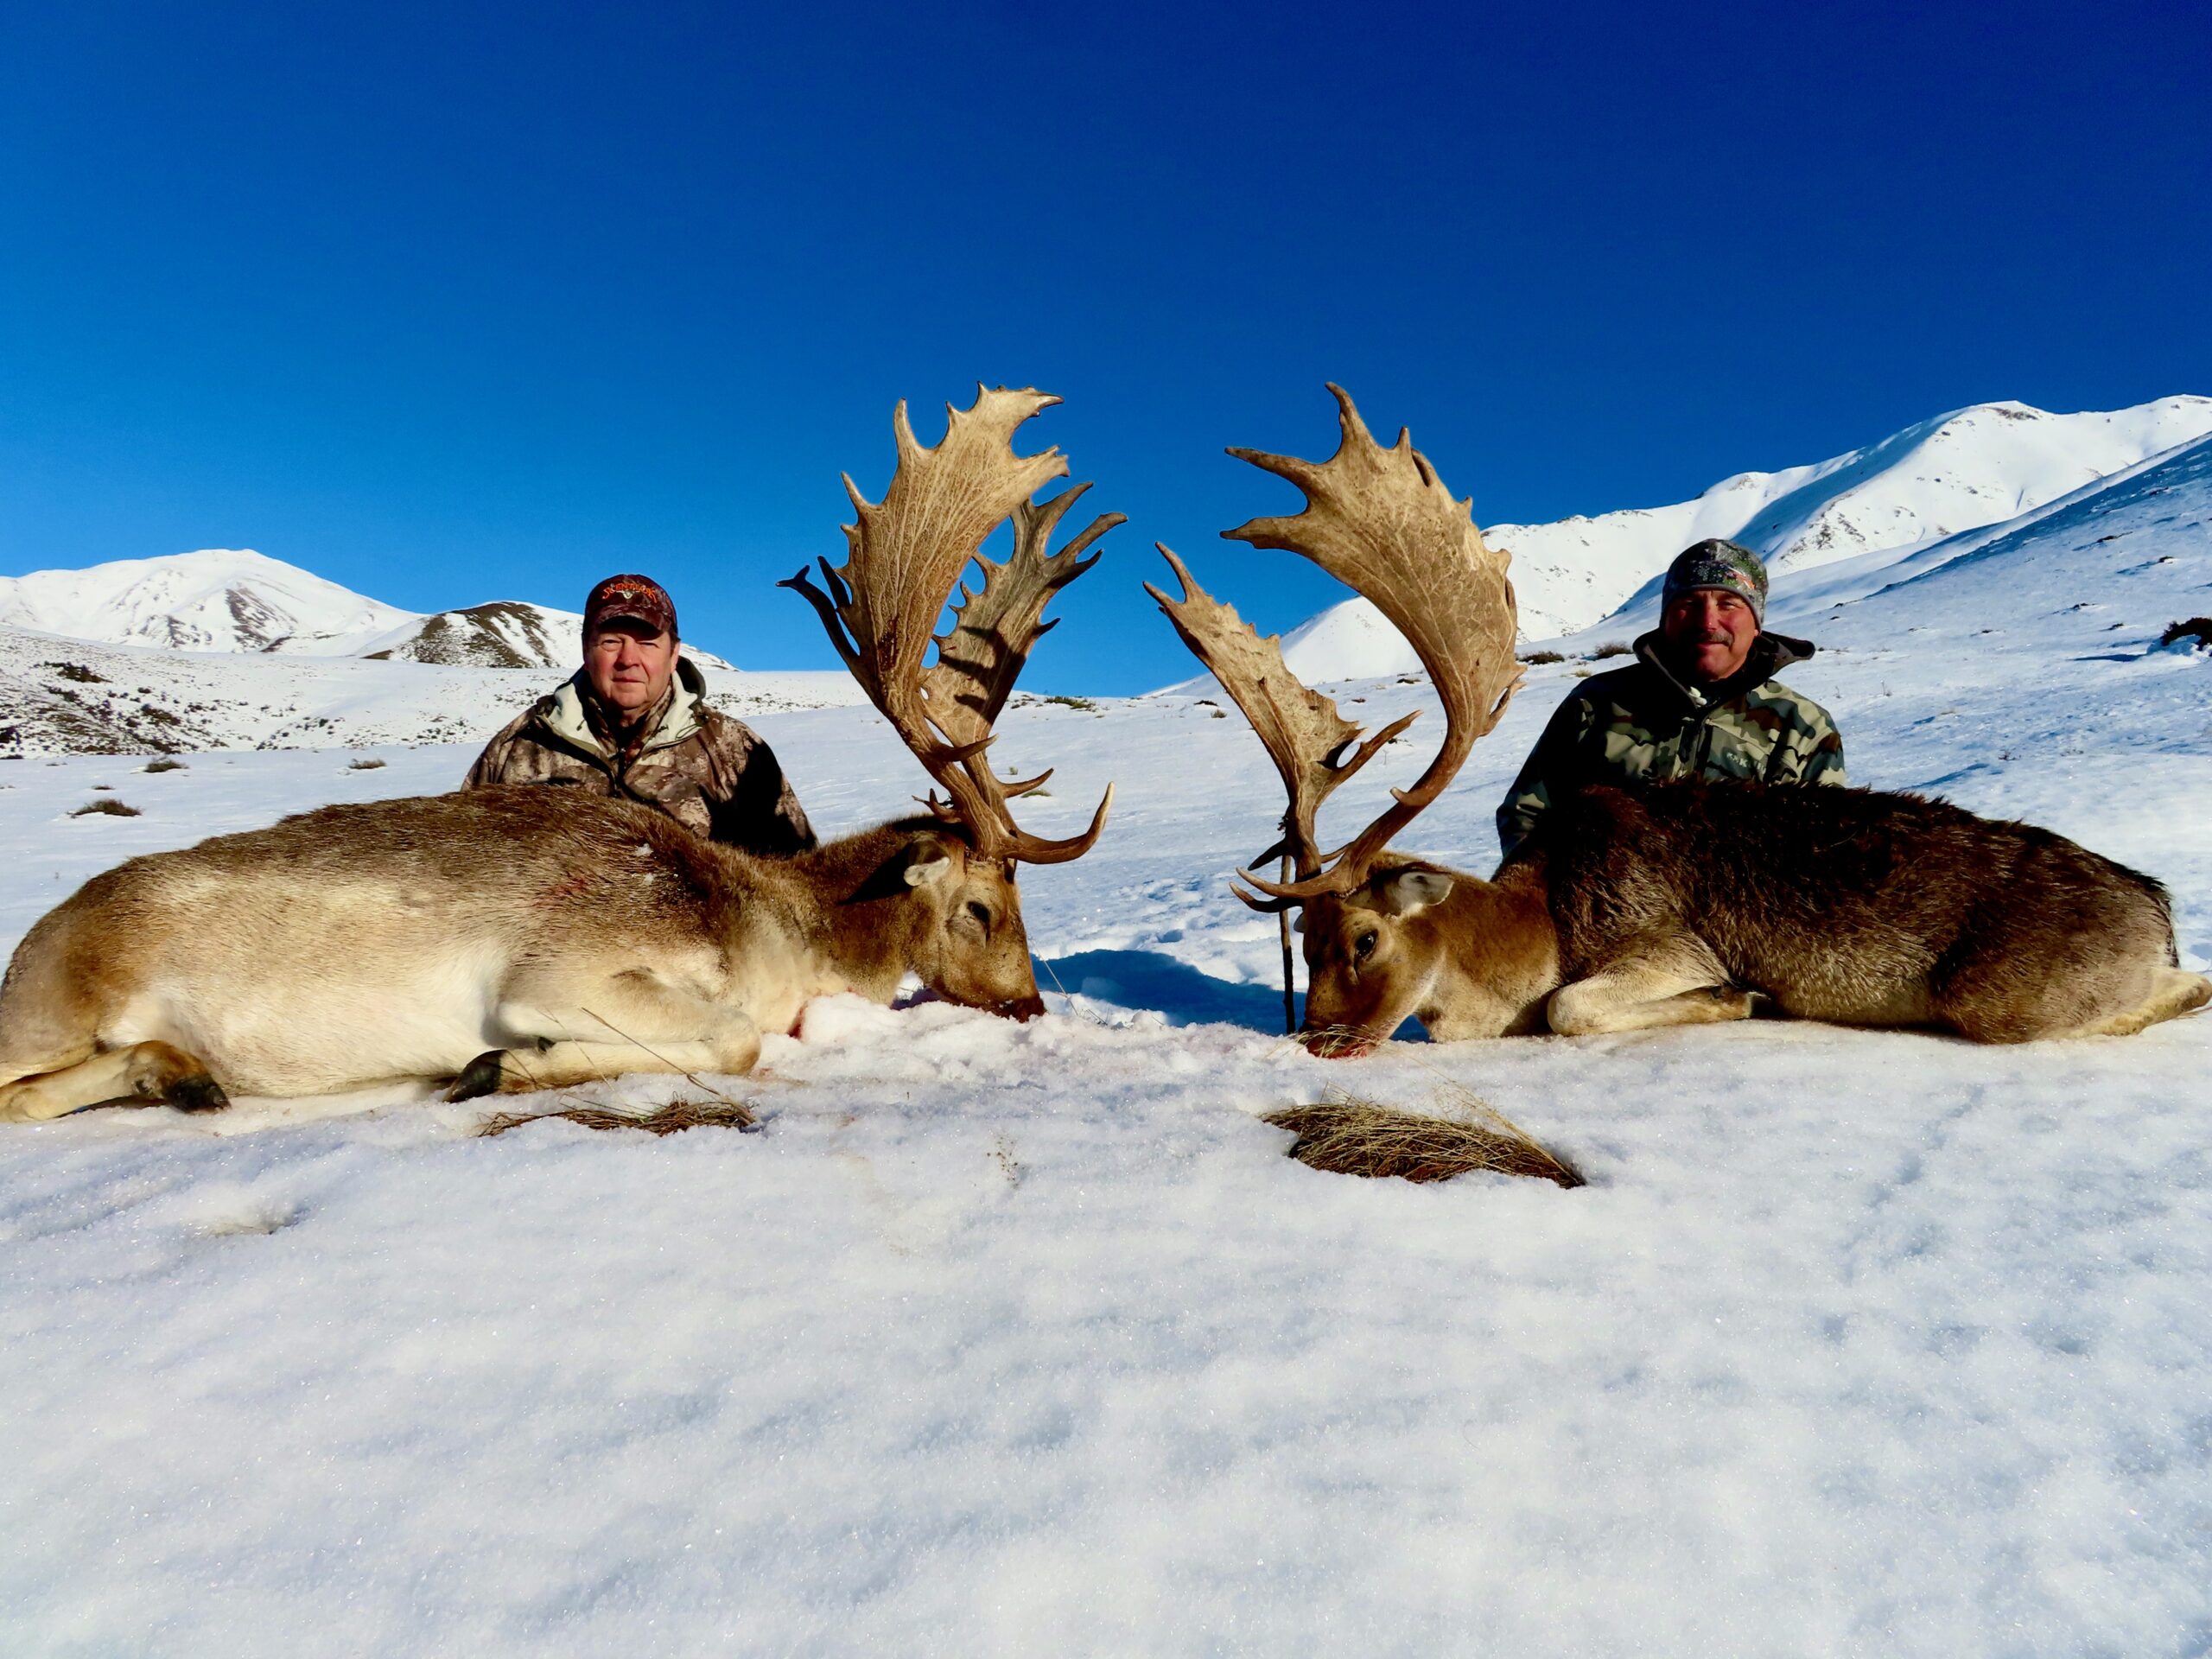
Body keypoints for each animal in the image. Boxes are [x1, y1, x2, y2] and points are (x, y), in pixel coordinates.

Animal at [0, 386, 1117, 1122]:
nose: (1027, 1004)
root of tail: (33, 944)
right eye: (982, 906)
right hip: (51, 1013)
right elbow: (734, 1038)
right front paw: (488, 1070)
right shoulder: (553, 977)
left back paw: (183, 1075)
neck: (776, 929)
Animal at [1150, 385, 2210, 1056]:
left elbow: (1573, 1010)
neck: (1532, 931)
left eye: (1365, 938)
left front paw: (1740, 998)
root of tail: (2158, 907)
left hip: (2006, 993)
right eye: (1303, 943)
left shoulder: (1658, 946)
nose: (1319, 1041)